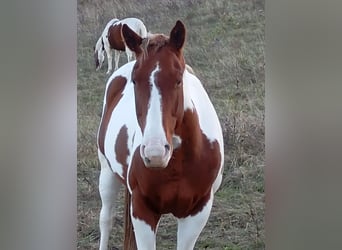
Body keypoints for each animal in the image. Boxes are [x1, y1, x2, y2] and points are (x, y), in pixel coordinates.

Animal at [96, 20, 224, 249]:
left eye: (179, 79)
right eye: (135, 81)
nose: (155, 153)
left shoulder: (197, 213)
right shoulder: (142, 211)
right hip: (107, 172)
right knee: (106, 220)